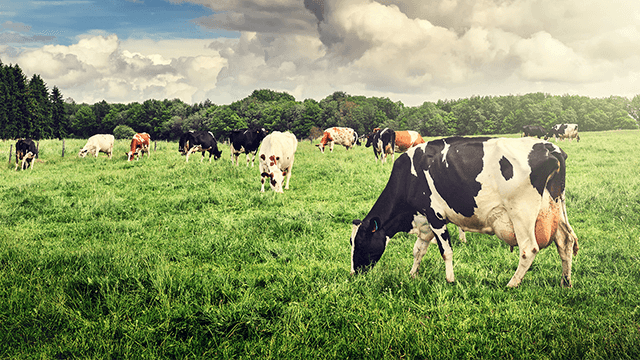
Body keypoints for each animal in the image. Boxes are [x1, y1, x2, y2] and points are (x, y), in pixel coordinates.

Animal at [350, 136, 580, 288]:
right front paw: (412, 274)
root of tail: (550, 147)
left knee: (529, 249)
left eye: (359, 242)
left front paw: (450, 279)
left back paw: (512, 284)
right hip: (555, 205)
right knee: (565, 241)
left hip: (522, 213)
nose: (354, 273)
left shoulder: (435, 216)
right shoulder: (424, 220)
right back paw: (566, 281)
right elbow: (419, 250)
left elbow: (446, 251)